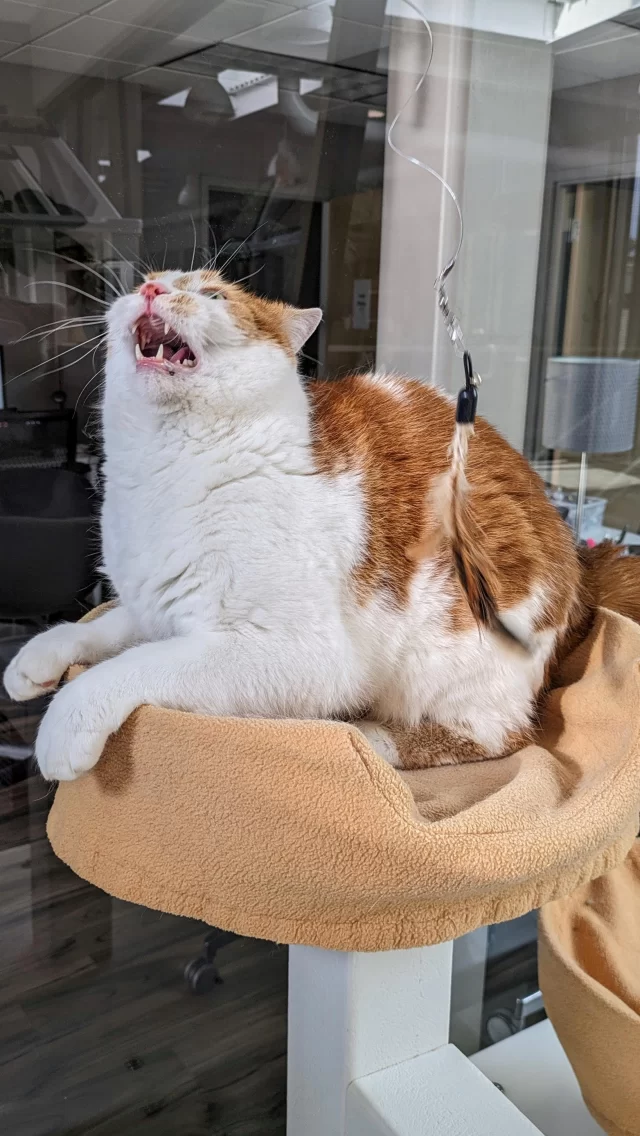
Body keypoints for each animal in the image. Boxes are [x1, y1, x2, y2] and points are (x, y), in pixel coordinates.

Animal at [2, 271, 636, 781]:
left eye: (213, 294)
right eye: (145, 280)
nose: (154, 290)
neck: (162, 471)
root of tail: (583, 568)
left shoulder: (293, 650)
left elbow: (135, 665)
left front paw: (66, 719)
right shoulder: (155, 602)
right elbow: (106, 626)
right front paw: (38, 658)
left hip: (458, 656)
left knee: (494, 736)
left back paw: (367, 738)